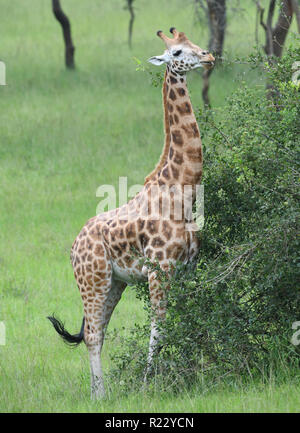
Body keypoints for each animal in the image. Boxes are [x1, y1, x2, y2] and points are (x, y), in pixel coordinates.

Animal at [48, 27, 213, 398]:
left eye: (195, 43)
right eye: (178, 51)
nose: (209, 56)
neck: (183, 189)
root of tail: (73, 246)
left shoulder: (187, 267)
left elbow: (187, 319)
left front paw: (191, 371)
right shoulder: (159, 269)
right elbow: (158, 327)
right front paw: (150, 382)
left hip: (114, 283)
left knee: (98, 331)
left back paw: (99, 392)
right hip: (92, 280)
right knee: (93, 334)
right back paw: (99, 395)